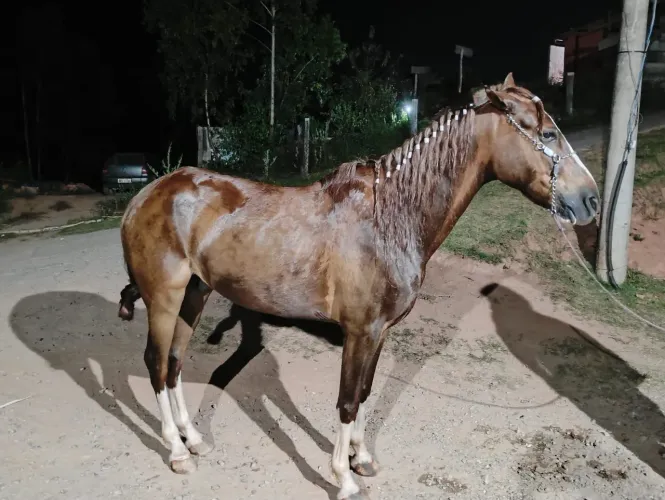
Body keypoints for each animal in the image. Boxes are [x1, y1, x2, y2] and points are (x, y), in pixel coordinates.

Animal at [117, 73, 599, 499]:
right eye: (548, 132)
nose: (590, 200)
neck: (391, 216)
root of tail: (144, 195)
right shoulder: (359, 331)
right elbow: (347, 401)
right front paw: (343, 478)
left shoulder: (378, 332)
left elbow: (364, 394)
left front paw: (361, 459)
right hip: (164, 299)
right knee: (156, 364)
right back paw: (177, 451)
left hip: (194, 294)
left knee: (175, 363)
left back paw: (193, 438)